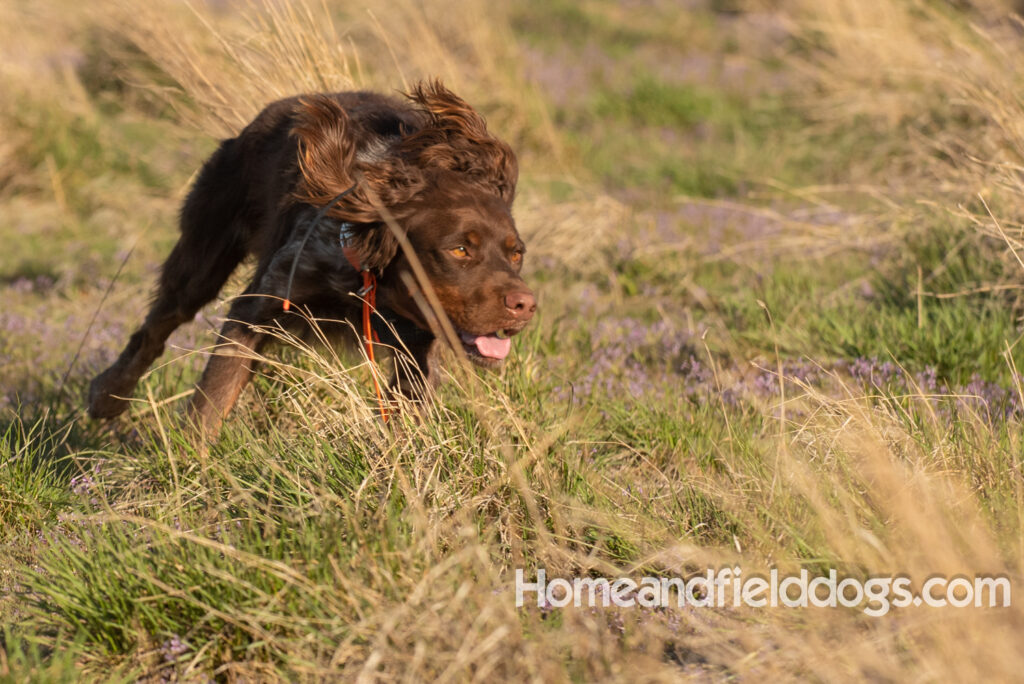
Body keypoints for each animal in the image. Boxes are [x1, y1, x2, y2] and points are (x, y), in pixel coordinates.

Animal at [87, 81, 536, 438]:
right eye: (460, 249)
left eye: (516, 253)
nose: (526, 305)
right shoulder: (258, 307)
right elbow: (213, 398)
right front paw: (189, 465)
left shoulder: (416, 352)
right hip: (202, 256)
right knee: (154, 329)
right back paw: (107, 396)